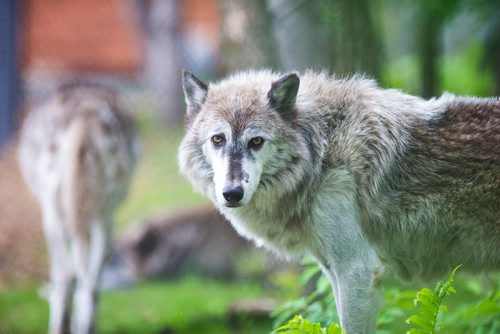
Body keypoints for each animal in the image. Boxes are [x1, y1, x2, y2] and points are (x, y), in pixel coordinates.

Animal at [17, 84, 139, 334]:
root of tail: (87, 111)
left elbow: (64, 278)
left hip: (53, 217)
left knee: (65, 276)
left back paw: (60, 327)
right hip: (105, 218)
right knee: (91, 284)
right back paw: (85, 327)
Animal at [180, 69, 500, 332]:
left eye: (256, 142)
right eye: (218, 139)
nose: (231, 193)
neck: (321, 150)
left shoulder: (357, 272)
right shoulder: (334, 271)